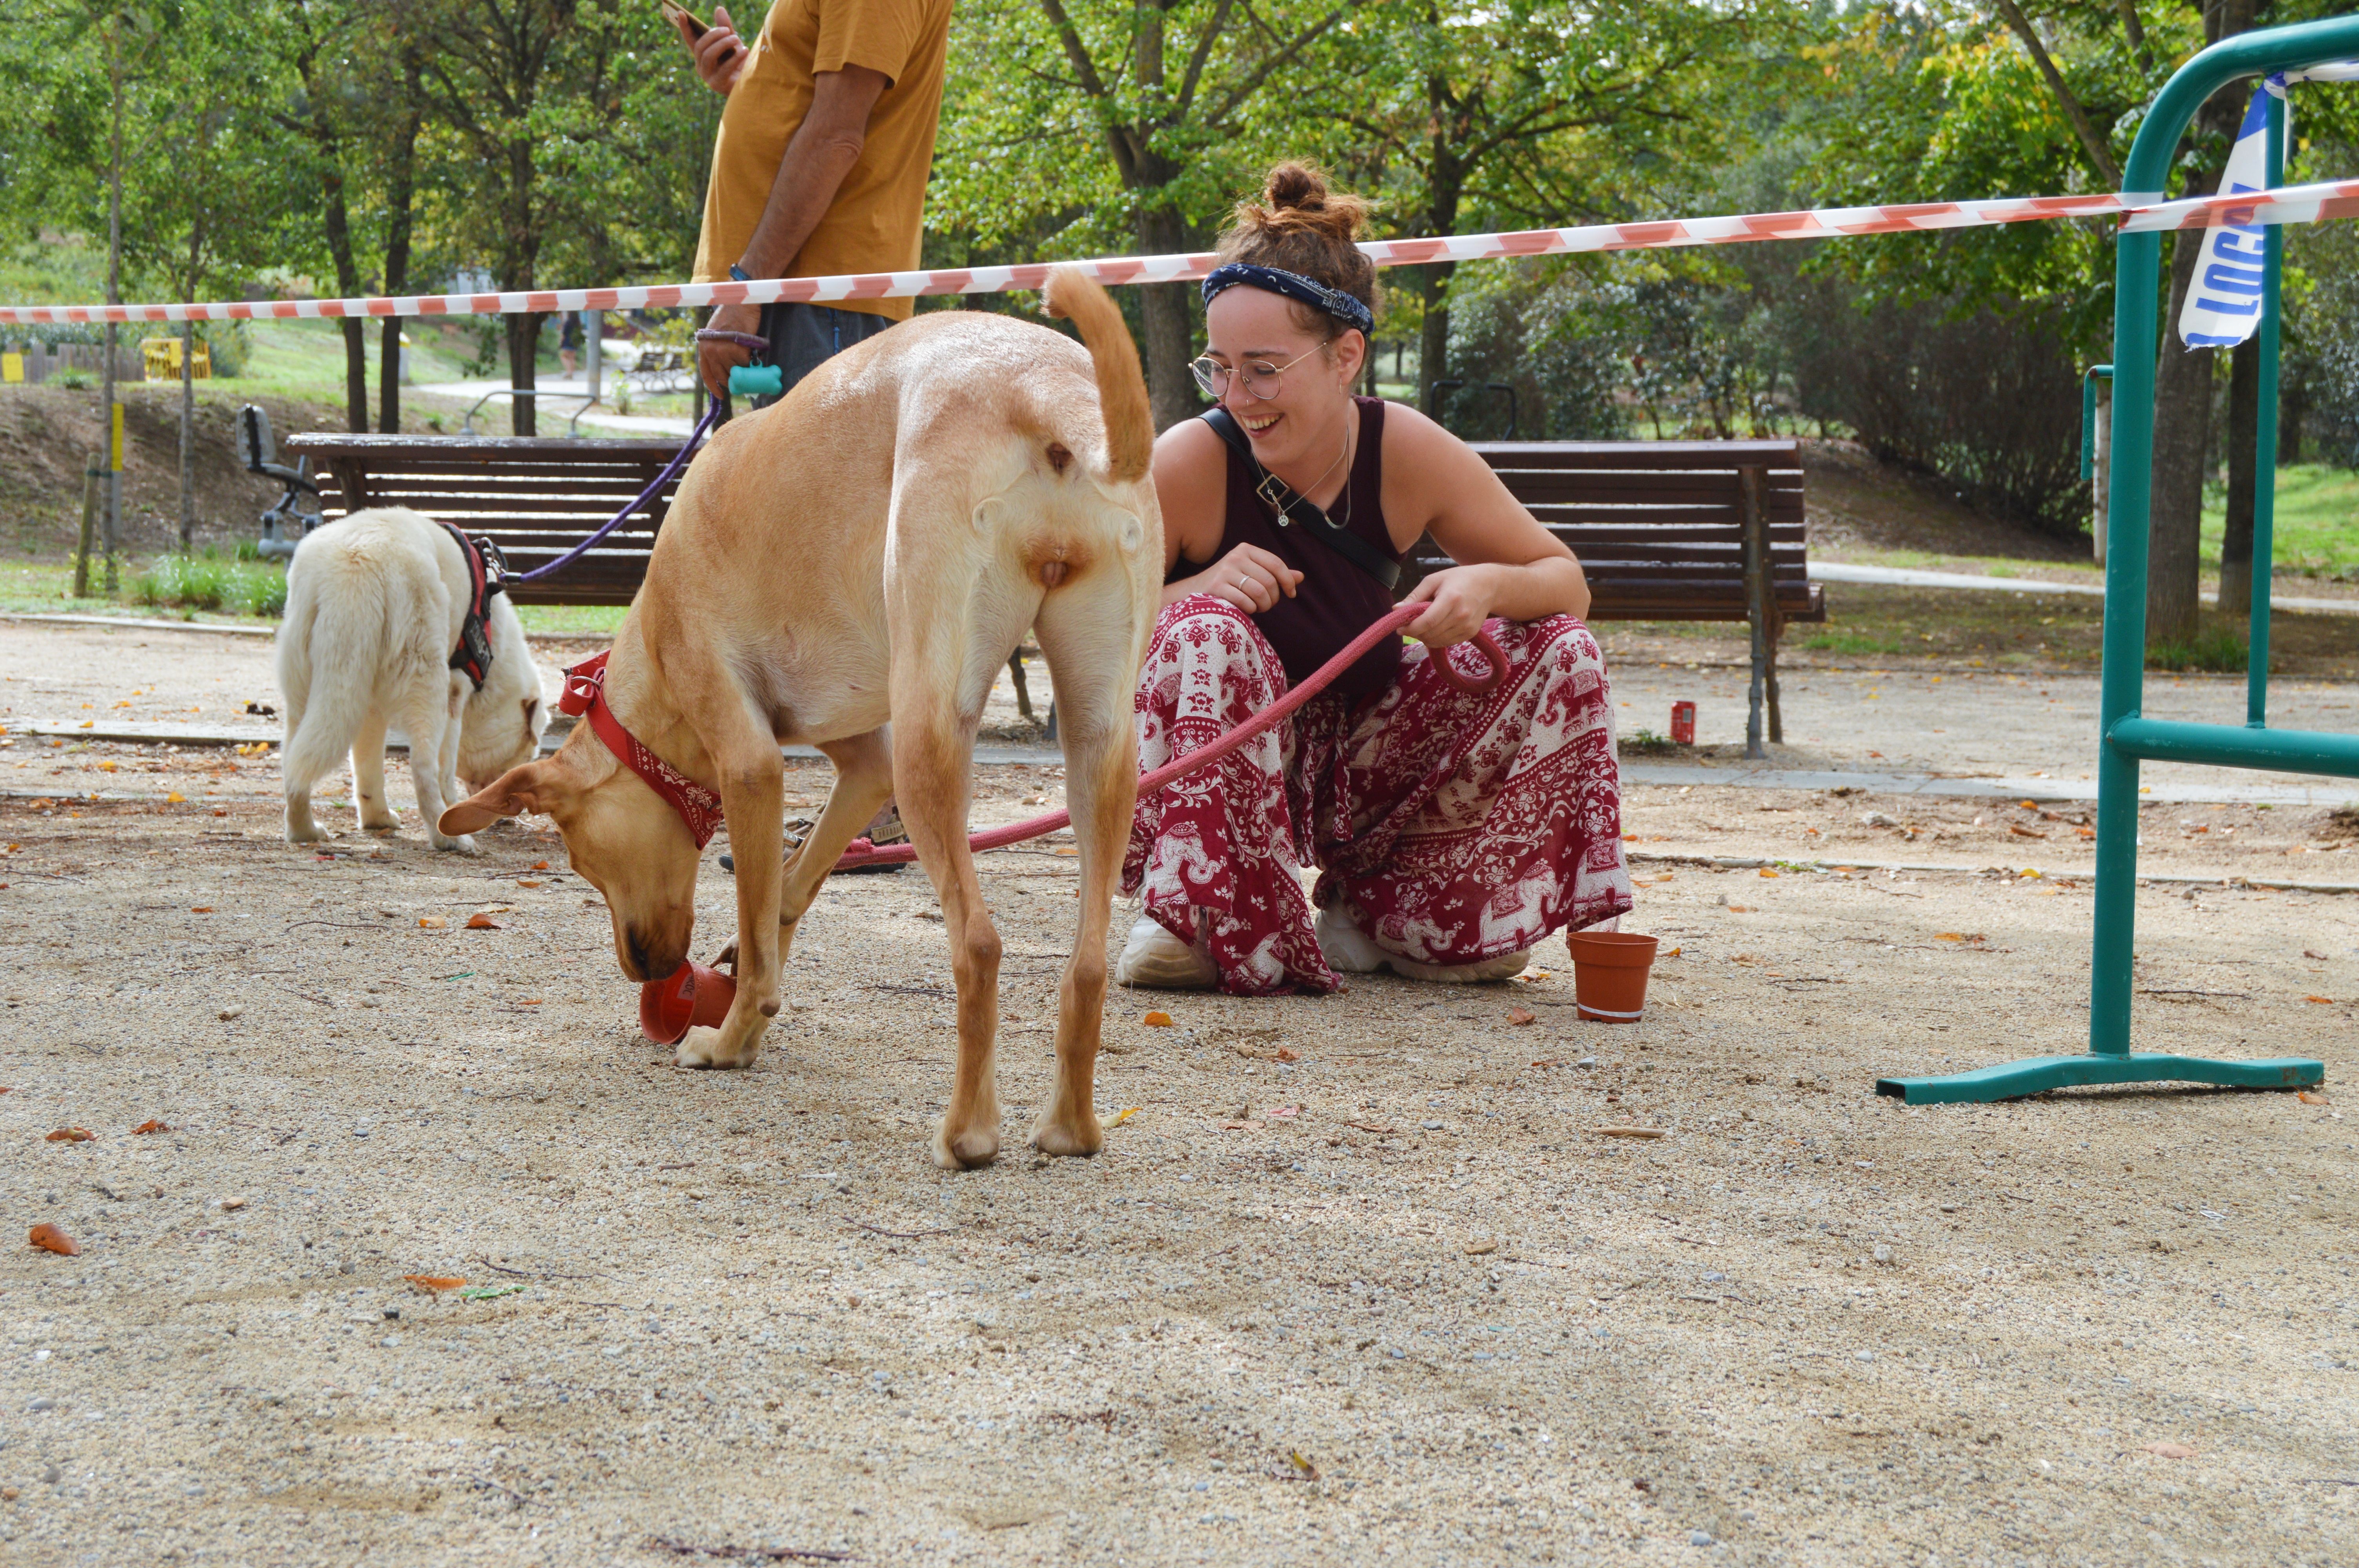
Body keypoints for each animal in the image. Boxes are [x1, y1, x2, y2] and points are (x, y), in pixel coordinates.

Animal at [277, 507, 547, 849]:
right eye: (524, 759)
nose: (509, 818)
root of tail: (355, 565)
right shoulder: (455, 694)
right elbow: (445, 771)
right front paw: (454, 812)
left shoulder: (372, 711)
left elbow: (367, 769)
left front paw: (377, 819)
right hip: (426, 681)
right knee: (422, 768)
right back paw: (449, 838)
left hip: (304, 688)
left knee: (293, 761)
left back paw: (304, 831)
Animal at [441, 274, 1160, 1169]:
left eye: (578, 860)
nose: (645, 971)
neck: (652, 649)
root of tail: (1040, 384)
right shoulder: (863, 766)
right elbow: (785, 890)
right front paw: (747, 964)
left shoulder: (752, 764)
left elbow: (759, 930)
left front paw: (731, 1037)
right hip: (1098, 742)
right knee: (1086, 963)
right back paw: (1070, 1127)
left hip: (934, 737)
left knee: (979, 944)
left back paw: (966, 1133)